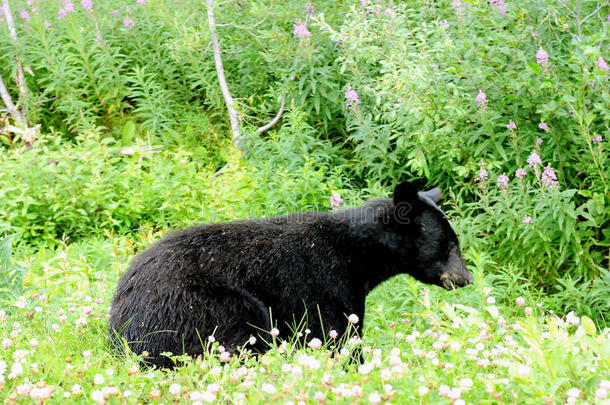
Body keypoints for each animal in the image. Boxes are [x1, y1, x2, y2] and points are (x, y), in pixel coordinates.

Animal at [108, 182, 470, 366]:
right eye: (449, 245)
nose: (466, 278)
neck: (357, 252)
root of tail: (119, 330)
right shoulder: (326, 285)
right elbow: (336, 337)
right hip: (197, 308)